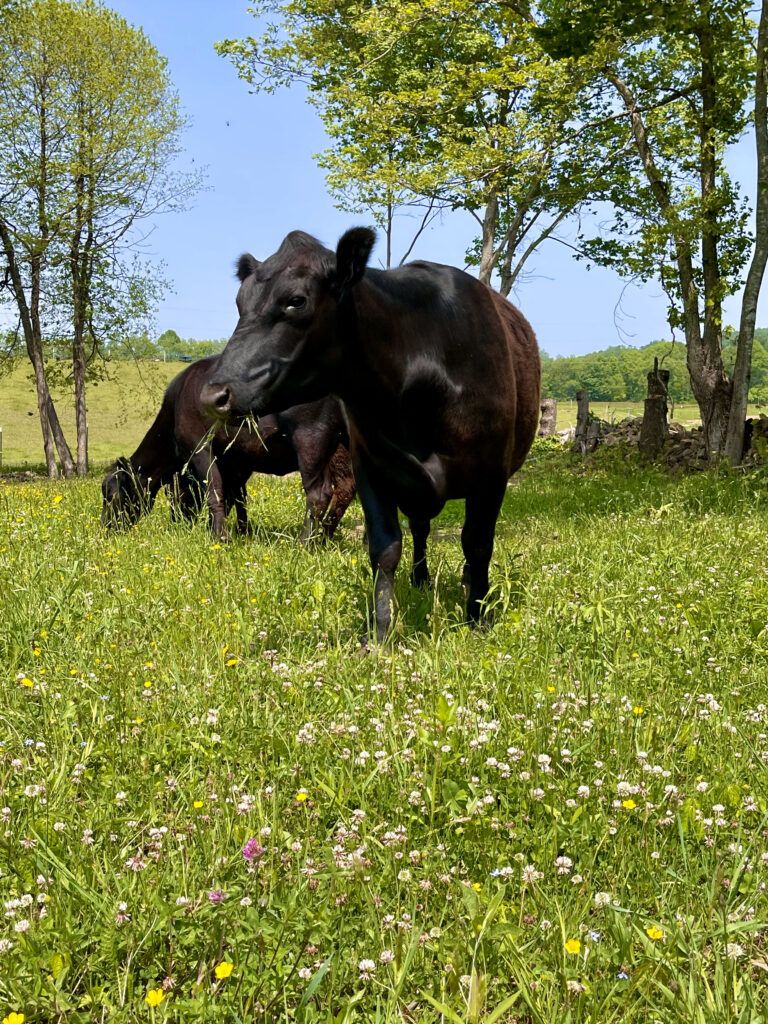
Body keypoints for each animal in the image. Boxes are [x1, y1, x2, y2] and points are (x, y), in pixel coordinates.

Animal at [99, 356, 358, 540]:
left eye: (110, 495)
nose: (105, 528)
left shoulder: (200, 447)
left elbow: (215, 491)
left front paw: (219, 537)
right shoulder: (235, 462)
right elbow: (237, 497)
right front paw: (241, 533)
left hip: (311, 441)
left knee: (320, 493)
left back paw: (307, 542)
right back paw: (325, 536)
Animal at [201, 230, 544, 638]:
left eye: (296, 301)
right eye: (240, 302)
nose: (213, 395)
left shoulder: (490, 474)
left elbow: (477, 545)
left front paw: (477, 617)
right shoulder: (371, 467)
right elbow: (385, 549)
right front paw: (381, 632)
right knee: (420, 527)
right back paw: (419, 579)